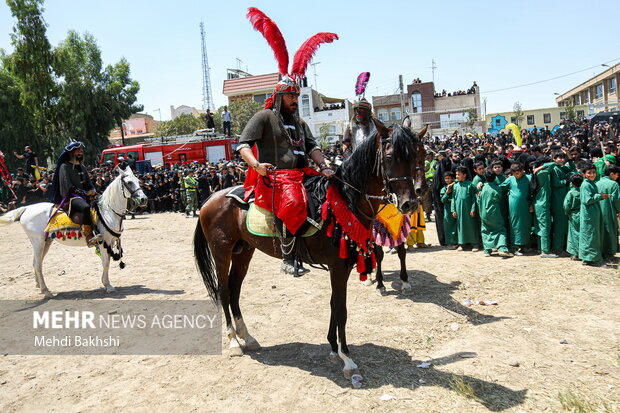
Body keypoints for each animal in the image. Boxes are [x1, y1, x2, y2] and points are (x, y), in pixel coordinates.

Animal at [0, 166, 148, 298]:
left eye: (138, 180)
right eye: (129, 182)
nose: (144, 199)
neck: (108, 211)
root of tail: (26, 208)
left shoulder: (110, 242)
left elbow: (107, 262)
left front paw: (105, 283)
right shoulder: (103, 242)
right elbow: (105, 263)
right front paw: (108, 285)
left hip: (46, 241)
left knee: (37, 262)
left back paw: (40, 287)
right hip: (38, 241)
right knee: (37, 264)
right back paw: (46, 291)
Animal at [194, 120, 426, 384]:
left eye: (416, 155)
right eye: (389, 156)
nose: (410, 203)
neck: (345, 201)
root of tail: (211, 198)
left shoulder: (342, 267)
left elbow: (334, 305)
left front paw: (334, 348)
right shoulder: (338, 267)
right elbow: (341, 309)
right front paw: (347, 359)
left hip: (244, 251)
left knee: (234, 290)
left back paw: (247, 336)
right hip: (222, 252)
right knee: (224, 291)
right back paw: (234, 341)